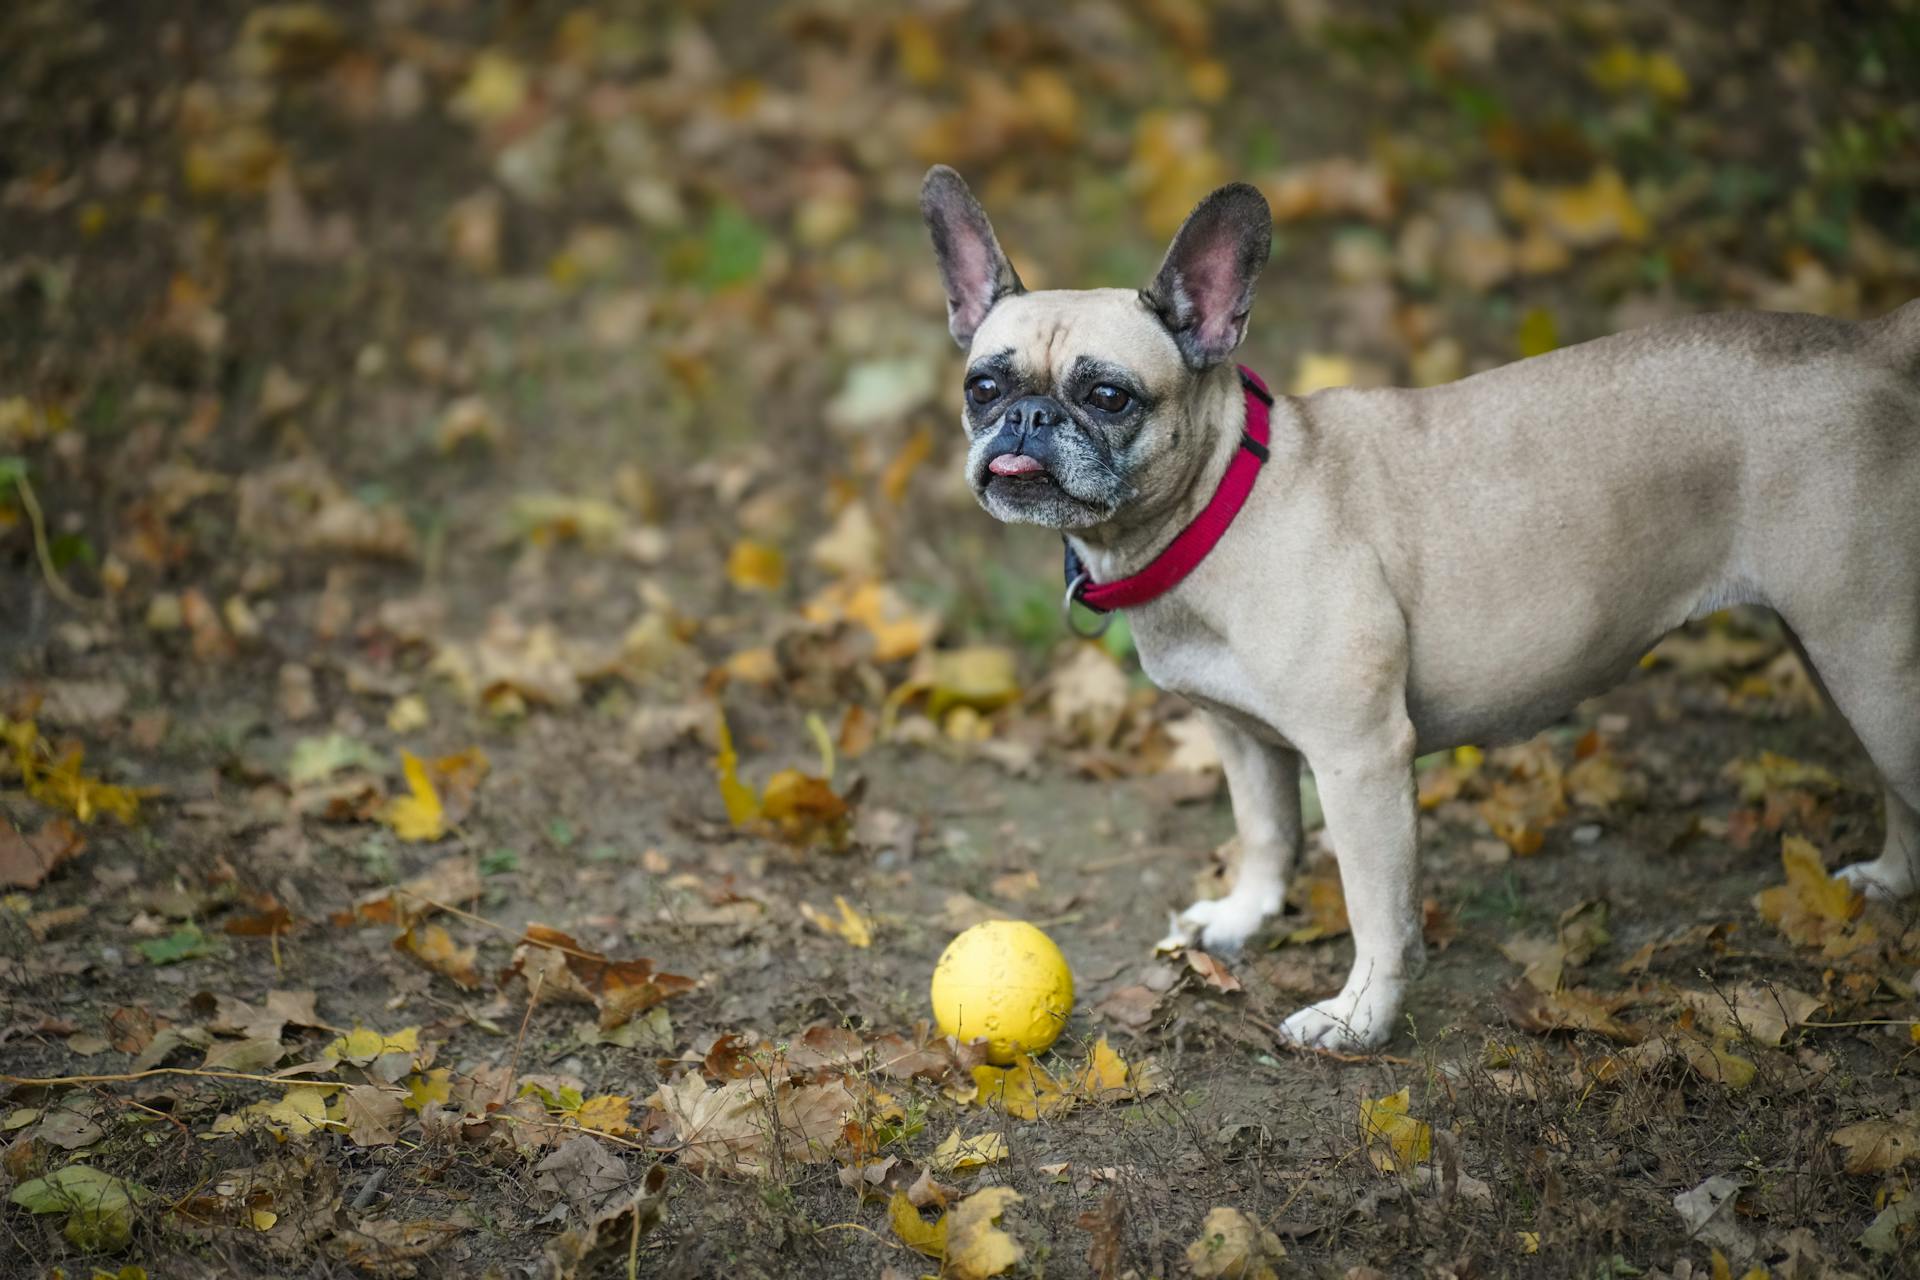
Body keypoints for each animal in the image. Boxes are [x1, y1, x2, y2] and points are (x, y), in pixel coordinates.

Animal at [913, 163, 1920, 1051]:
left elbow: (1378, 911)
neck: (1224, 502)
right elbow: (1265, 833)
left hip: (1869, 657)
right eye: (983, 387)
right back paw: (1887, 883)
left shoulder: (1359, 759)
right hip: (1836, 659)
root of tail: (1869, 349)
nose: (1027, 421)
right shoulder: (1241, 737)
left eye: (1108, 396)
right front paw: (1245, 915)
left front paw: (1360, 1020)